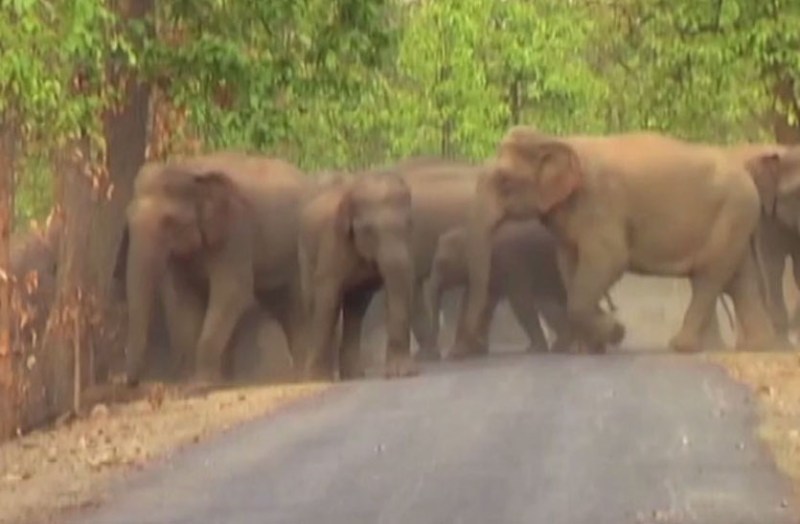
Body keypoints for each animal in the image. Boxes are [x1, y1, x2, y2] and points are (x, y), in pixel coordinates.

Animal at [117, 152, 310, 386]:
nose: (130, 382)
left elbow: (233, 291)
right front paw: (192, 381)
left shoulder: (236, 229)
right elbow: (183, 297)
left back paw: (302, 376)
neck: (191, 169)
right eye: (128, 219)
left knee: (298, 307)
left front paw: (201, 384)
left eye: (169, 222)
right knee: (282, 308)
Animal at [298, 169, 415, 380]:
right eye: (368, 230)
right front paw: (317, 378)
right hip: (303, 251)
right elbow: (327, 299)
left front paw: (402, 373)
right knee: (314, 304)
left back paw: (353, 375)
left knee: (356, 307)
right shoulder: (332, 241)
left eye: (409, 223)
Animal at [463, 127, 777, 355]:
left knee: (709, 276)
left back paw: (681, 347)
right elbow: (571, 267)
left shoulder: (601, 203)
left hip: (731, 213)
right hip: (736, 219)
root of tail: (747, 175)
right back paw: (757, 347)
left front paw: (616, 334)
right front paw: (596, 345)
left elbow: (610, 259)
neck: (555, 139)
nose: (472, 347)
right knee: (739, 279)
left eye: (504, 180)